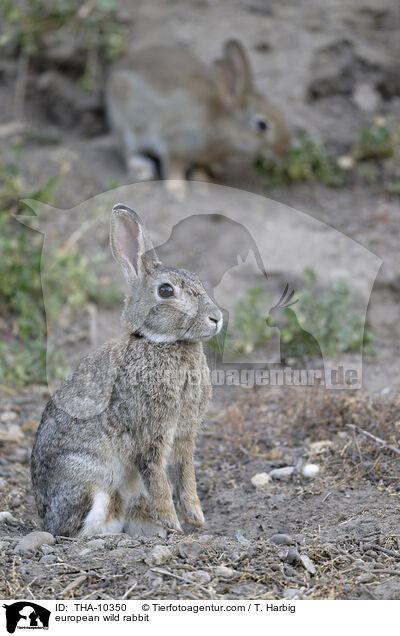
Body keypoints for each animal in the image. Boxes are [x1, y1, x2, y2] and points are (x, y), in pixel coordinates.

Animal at [31, 204, 223, 536]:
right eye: (166, 290)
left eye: (197, 280)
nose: (217, 318)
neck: (161, 343)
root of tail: (47, 519)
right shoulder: (149, 432)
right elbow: (157, 476)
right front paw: (173, 522)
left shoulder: (185, 434)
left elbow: (186, 475)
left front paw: (195, 517)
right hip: (89, 479)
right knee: (78, 528)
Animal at [104, 39, 290, 183]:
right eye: (262, 124)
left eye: (280, 111)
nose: (284, 149)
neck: (220, 124)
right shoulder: (175, 143)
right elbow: (173, 168)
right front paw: (178, 191)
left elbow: (200, 167)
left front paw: (203, 180)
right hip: (126, 126)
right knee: (124, 150)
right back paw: (142, 168)